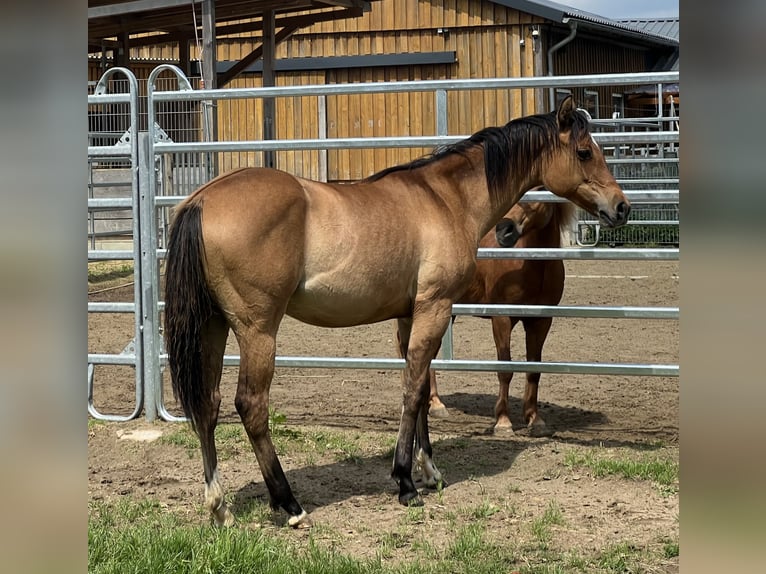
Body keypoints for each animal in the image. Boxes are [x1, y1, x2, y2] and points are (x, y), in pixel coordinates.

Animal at [420, 198, 576, 436]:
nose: (504, 230)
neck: (531, 263)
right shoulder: (502, 320)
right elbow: (505, 369)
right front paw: (503, 421)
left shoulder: (541, 321)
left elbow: (534, 370)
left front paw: (534, 419)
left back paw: (435, 403)